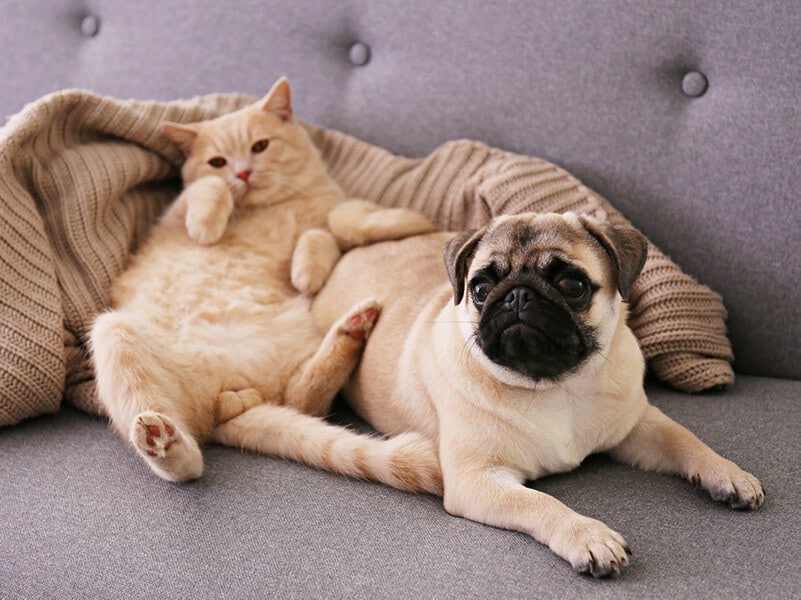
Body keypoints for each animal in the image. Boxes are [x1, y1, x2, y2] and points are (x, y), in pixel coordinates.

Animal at [90, 77, 440, 494]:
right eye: (218, 161)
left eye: (260, 146)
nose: (242, 173)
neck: (273, 209)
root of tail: (229, 389)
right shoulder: (174, 215)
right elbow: (207, 189)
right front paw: (209, 224)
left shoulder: (332, 218)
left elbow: (339, 223)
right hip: (112, 332)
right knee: (189, 458)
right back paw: (162, 441)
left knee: (302, 400)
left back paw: (352, 330)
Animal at [308, 212, 764, 576]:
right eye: (480, 288)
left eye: (572, 285)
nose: (517, 294)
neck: (555, 386)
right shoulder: (478, 479)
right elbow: (540, 504)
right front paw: (586, 535)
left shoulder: (638, 425)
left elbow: (686, 439)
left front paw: (727, 473)